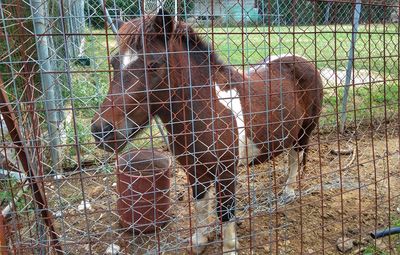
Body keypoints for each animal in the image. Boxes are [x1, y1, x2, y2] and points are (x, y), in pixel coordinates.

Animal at [92, 8, 324, 254]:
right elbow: (201, 205)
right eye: (114, 63)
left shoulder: (226, 172)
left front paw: (230, 247)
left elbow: (225, 211)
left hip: (304, 132)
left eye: (153, 64)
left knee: (295, 158)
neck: (207, 109)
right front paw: (200, 240)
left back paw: (288, 192)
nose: (101, 130)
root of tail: (302, 60)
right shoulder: (195, 170)